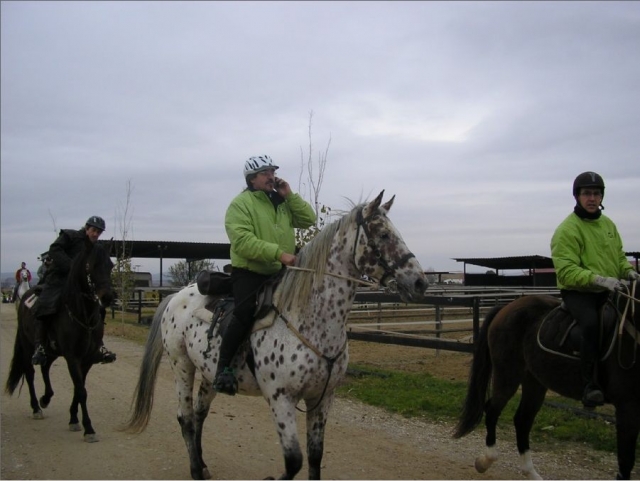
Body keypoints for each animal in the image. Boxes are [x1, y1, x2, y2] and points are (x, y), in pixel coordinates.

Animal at [5, 236, 114, 442]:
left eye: (111, 265)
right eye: (91, 265)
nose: (109, 297)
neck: (82, 314)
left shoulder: (87, 359)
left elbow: (79, 389)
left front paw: (73, 419)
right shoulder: (72, 357)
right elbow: (81, 390)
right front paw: (89, 429)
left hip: (52, 350)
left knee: (45, 367)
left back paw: (46, 398)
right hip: (28, 346)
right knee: (30, 373)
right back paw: (36, 407)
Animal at [124, 191, 428, 480]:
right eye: (384, 234)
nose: (420, 283)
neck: (309, 321)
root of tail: (175, 296)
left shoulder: (322, 399)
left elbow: (315, 458)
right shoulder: (280, 398)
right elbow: (294, 461)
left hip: (209, 373)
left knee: (200, 413)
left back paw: (203, 464)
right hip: (182, 365)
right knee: (185, 418)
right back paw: (196, 471)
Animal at [454, 286, 640, 480]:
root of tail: (507, 307)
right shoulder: (627, 405)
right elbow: (626, 460)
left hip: (534, 382)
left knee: (522, 420)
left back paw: (531, 473)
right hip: (508, 376)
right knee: (492, 410)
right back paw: (485, 461)